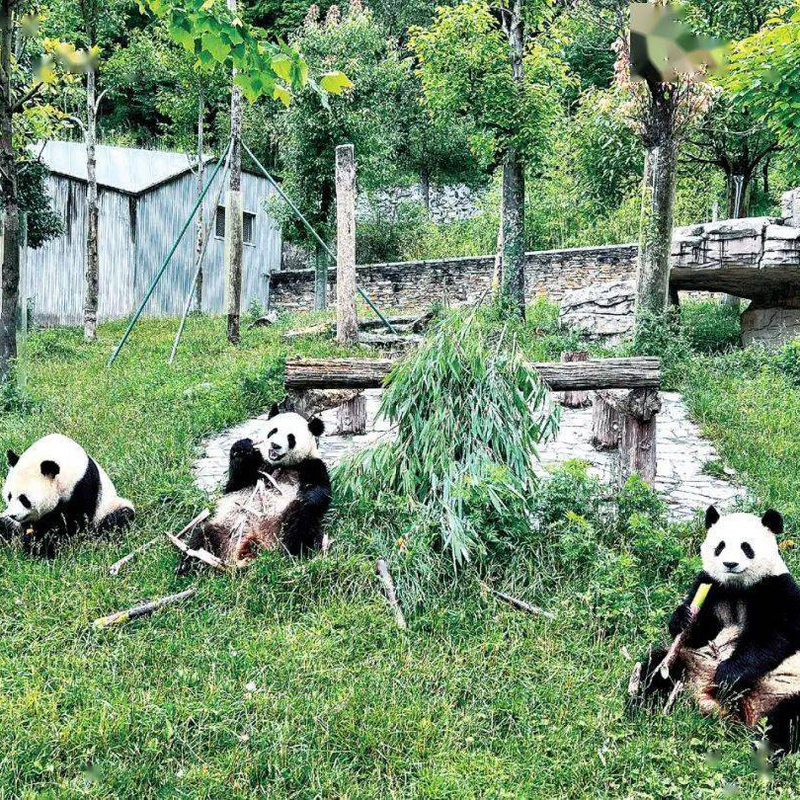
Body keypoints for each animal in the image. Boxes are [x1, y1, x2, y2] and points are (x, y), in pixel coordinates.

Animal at [0, 432, 134, 556]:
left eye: (24, 499)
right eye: (9, 496)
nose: (13, 515)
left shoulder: (82, 488)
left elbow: (73, 523)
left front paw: (43, 546)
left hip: (108, 507)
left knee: (118, 519)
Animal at [177, 406, 332, 576]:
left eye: (291, 438)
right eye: (273, 431)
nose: (275, 445)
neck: (280, 465)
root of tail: (255, 539)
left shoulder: (311, 464)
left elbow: (320, 491)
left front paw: (306, 498)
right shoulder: (259, 465)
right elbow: (235, 484)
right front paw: (242, 448)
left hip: (280, 521)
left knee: (299, 521)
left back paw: (291, 552)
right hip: (227, 526)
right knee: (203, 538)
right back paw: (190, 564)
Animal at [636, 506, 800, 756]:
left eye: (746, 547)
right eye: (720, 546)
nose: (730, 564)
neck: (738, 587)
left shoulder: (778, 590)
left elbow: (772, 638)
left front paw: (728, 675)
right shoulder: (710, 586)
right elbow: (699, 631)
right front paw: (683, 618)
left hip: (788, 687)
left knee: (791, 719)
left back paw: (766, 750)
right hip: (690, 662)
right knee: (657, 667)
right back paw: (642, 704)